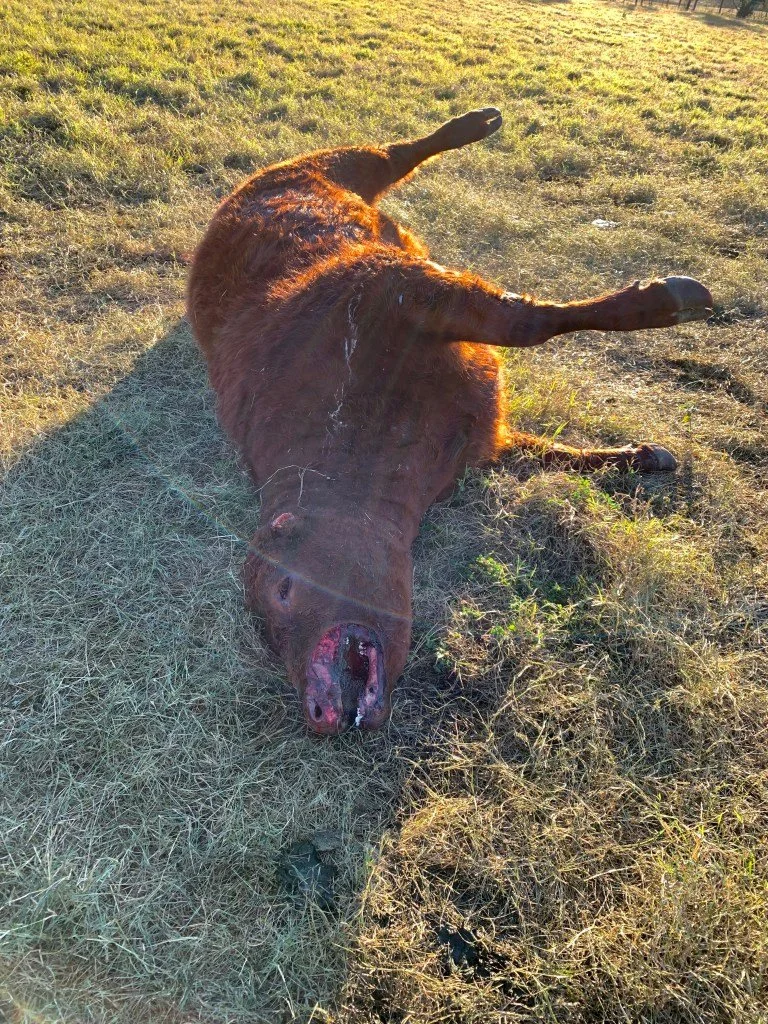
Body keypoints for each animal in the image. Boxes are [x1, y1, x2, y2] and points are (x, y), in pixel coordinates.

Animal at [187, 108, 712, 735]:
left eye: (285, 590)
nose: (316, 711)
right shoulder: (477, 432)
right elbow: (539, 448)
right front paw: (641, 456)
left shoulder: (393, 289)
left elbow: (524, 322)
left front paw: (669, 298)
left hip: (336, 167)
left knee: (391, 153)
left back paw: (475, 122)